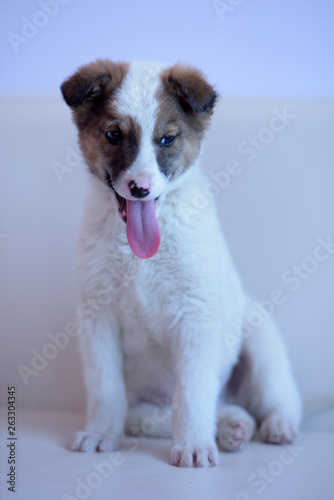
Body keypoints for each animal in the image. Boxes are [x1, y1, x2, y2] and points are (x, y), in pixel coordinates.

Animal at [60, 60, 302, 466]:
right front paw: (100, 434)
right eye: (113, 135)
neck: (139, 254)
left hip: (260, 340)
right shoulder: (98, 316)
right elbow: (105, 386)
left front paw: (192, 446)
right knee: (174, 412)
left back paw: (276, 425)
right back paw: (233, 426)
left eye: (167, 139)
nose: (140, 189)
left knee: (277, 397)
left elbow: (191, 392)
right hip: (143, 410)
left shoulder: (195, 313)